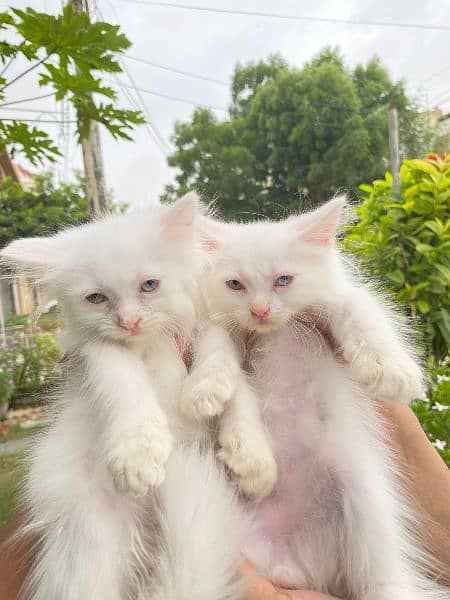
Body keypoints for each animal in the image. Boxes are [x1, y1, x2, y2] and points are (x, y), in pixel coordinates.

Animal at [0, 195, 246, 596]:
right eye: (96, 298)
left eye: (149, 285)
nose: (128, 322)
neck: (148, 343)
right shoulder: (96, 349)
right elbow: (124, 381)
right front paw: (138, 452)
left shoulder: (198, 320)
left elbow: (217, 343)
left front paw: (206, 390)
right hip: (88, 537)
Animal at [181, 199, 448, 600]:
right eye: (235, 284)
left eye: (283, 280)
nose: (259, 310)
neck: (272, 331)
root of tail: (292, 562)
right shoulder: (221, 325)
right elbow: (220, 359)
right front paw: (245, 448)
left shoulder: (336, 298)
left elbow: (360, 312)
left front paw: (392, 369)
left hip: (369, 503)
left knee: (384, 578)